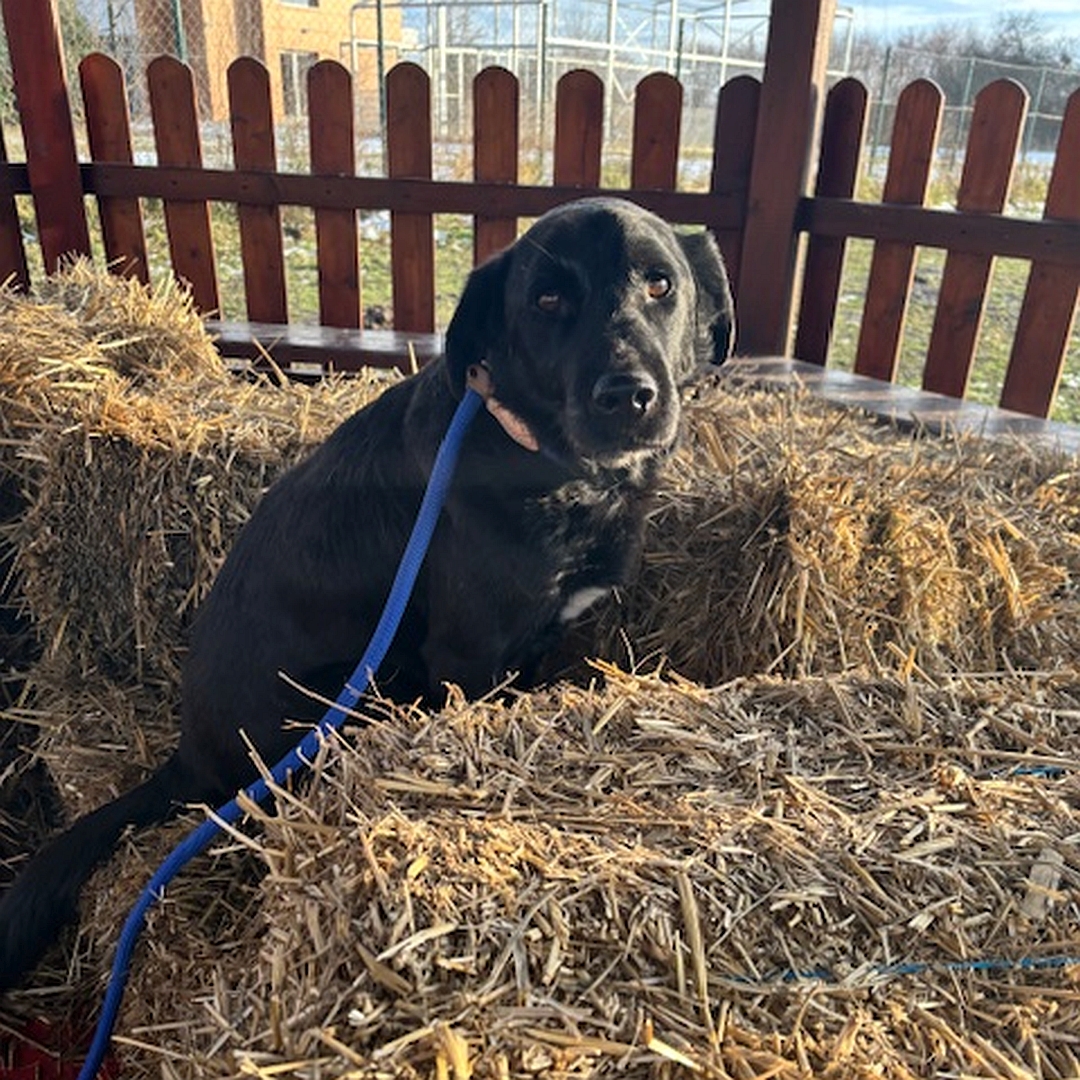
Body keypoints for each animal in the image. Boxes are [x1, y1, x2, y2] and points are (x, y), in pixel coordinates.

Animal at [0, 198, 734, 989]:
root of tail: (187, 759)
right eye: (547, 301)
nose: (628, 395)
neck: (542, 458)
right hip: (349, 696)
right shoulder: (468, 657)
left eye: (660, 284)